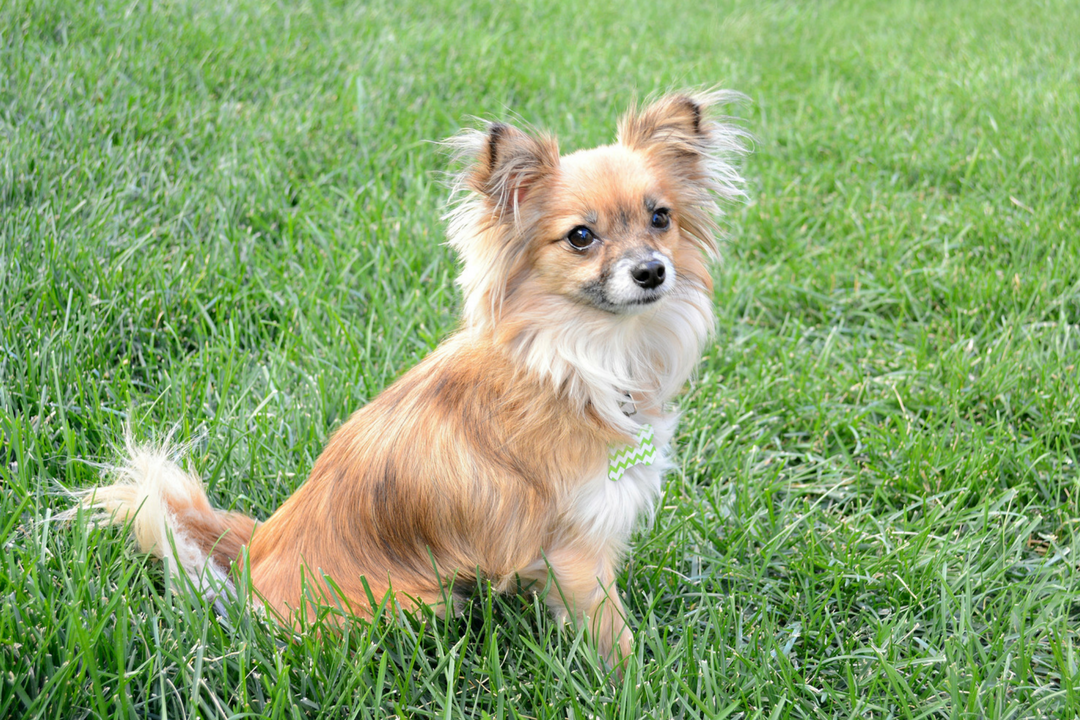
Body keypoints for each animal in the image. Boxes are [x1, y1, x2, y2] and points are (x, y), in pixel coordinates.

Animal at [76, 90, 747, 669]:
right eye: (581, 236)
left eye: (660, 219)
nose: (651, 270)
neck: (582, 360)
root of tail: (253, 556)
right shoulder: (577, 549)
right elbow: (611, 631)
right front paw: (635, 679)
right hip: (417, 600)